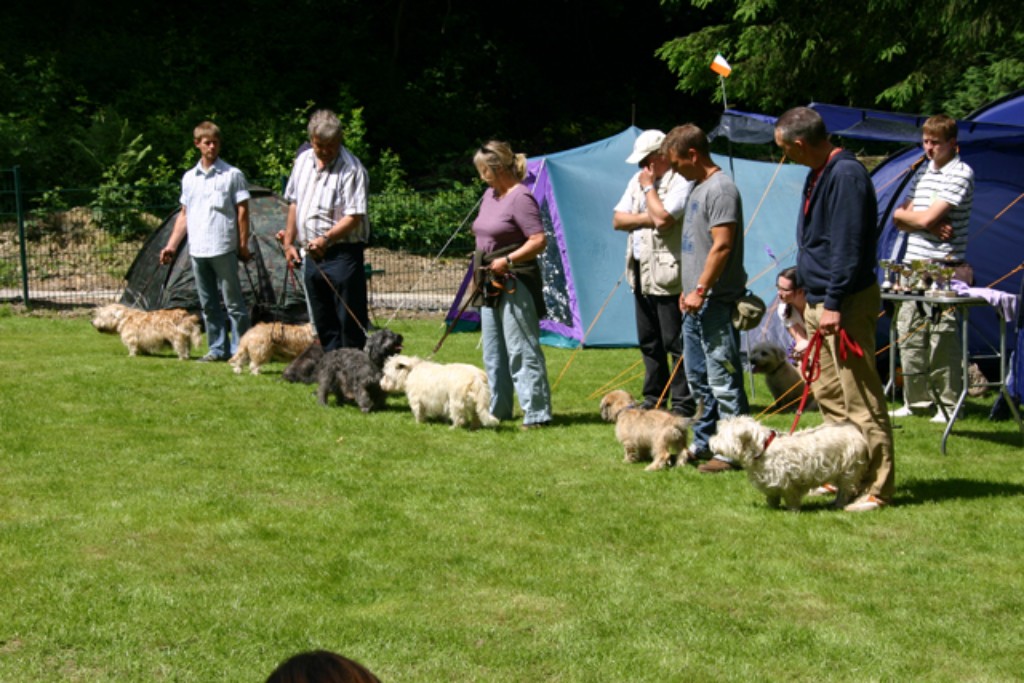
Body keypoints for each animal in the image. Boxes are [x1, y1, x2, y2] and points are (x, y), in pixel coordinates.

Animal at [708, 413, 868, 509]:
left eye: (721, 436)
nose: (710, 441)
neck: (762, 448)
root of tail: (853, 429)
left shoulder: (788, 481)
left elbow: (791, 497)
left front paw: (792, 510)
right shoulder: (769, 480)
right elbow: (772, 496)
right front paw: (771, 508)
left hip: (849, 470)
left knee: (845, 489)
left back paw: (839, 505)